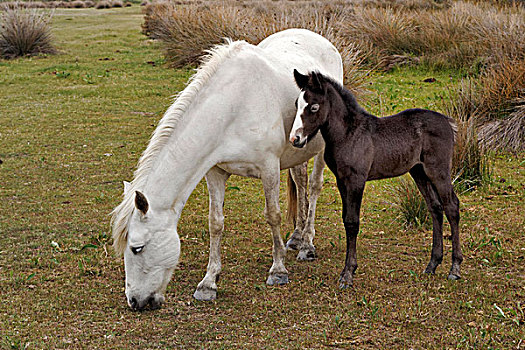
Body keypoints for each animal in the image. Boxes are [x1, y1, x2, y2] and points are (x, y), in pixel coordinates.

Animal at [110, 29, 344, 308]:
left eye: (137, 248)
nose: (134, 301)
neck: (233, 106)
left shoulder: (269, 168)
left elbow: (273, 215)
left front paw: (278, 270)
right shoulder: (215, 171)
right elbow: (216, 223)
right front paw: (208, 282)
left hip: (319, 150)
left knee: (315, 187)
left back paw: (307, 244)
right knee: (300, 182)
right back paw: (297, 237)